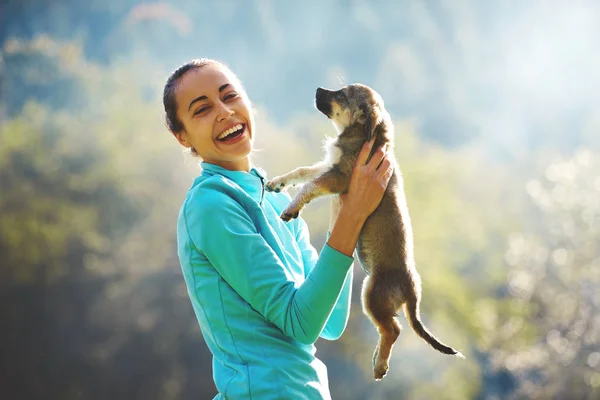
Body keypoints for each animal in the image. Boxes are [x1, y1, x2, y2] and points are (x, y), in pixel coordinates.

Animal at [264, 85, 466, 382]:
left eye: (341, 94)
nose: (317, 89)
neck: (364, 137)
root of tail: (411, 287)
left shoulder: (339, 176)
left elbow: (309, 185)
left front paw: (291, 208)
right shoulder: (329, 166)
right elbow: (302, 172)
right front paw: (278, 183)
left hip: (372, 295)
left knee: (393, 329)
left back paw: (380, 365)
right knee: (391, 329)